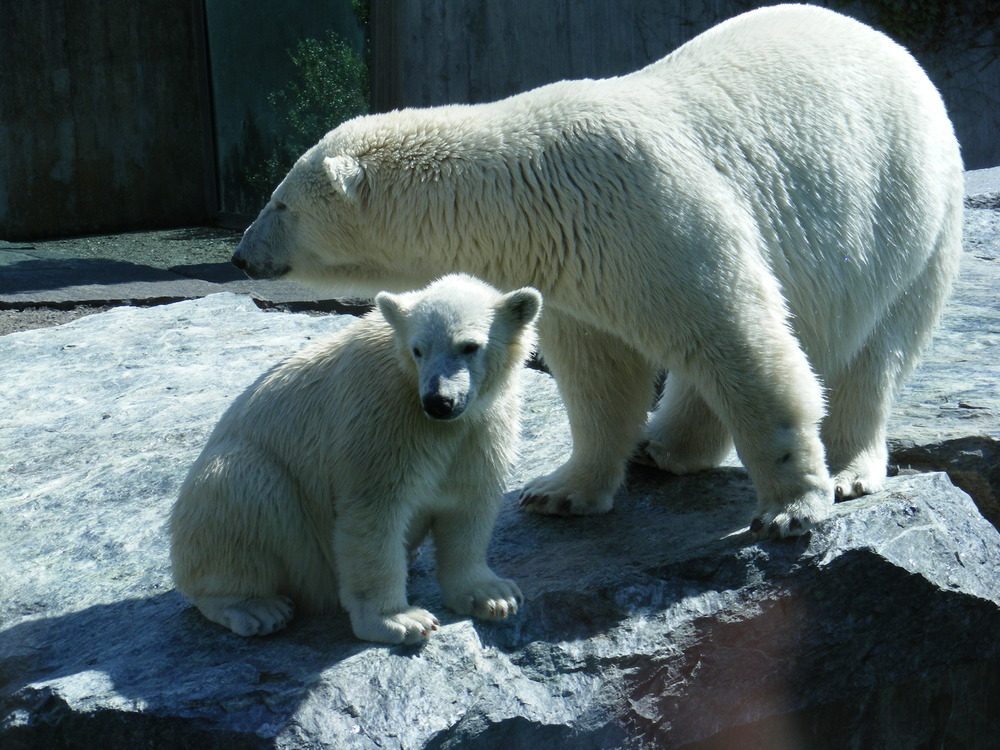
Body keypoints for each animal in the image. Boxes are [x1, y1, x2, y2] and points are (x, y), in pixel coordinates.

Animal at [232, 2, 960, 536]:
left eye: (279, 201)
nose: (240, 254)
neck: (526, 192)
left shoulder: (646, 208)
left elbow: (737, 336)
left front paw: (791, 506)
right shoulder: (574, 264)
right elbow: (599, 374)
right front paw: (561, 491)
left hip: (910, 214)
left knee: (874, 352)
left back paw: (850, 469)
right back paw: (663, 447)